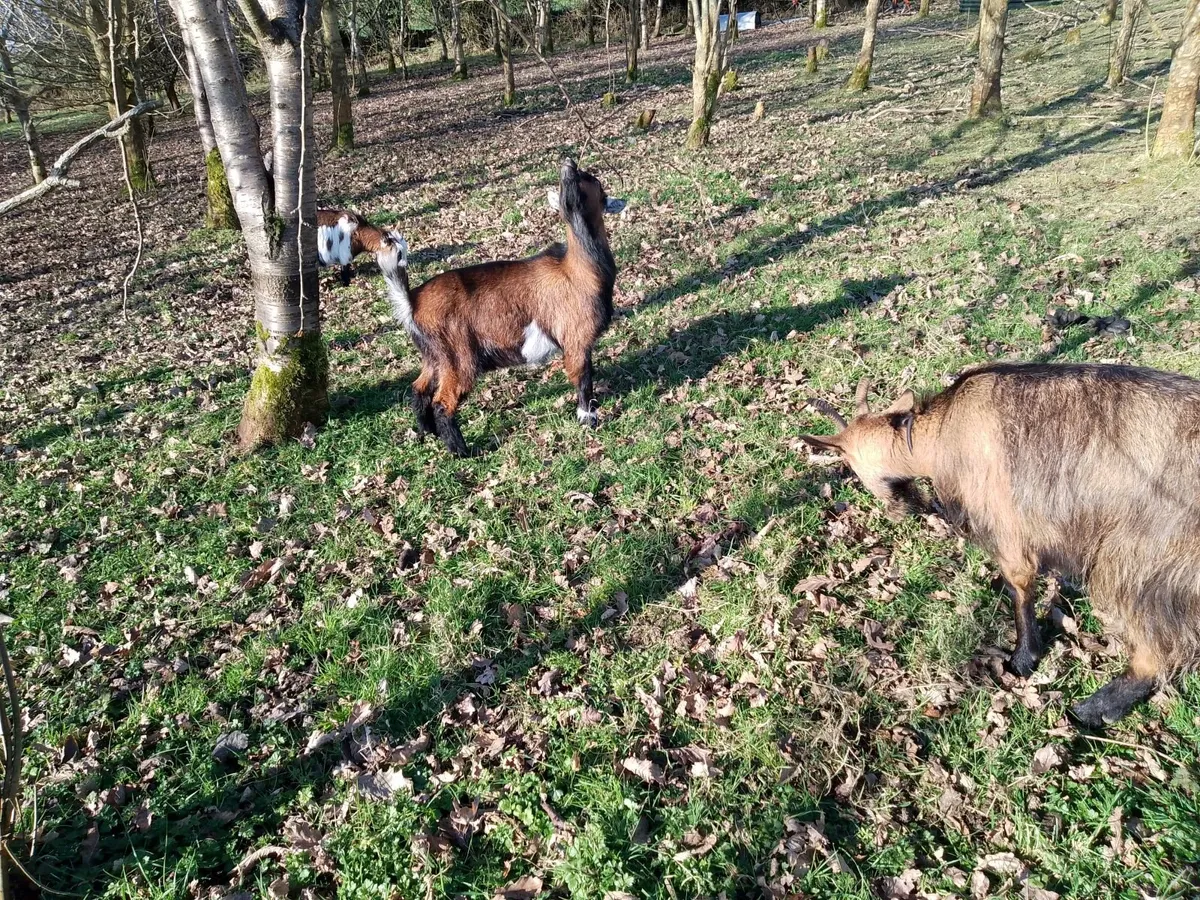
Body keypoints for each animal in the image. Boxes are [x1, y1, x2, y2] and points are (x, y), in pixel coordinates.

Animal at [373, 158, 625, 456]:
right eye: (592, 179)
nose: (569, 164)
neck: (580, 269)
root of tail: (411, 301)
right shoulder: (577, 339)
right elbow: (583, 380)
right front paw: (589, 420)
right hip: (459, 358)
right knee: (442, 403)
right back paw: (463, 451)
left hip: (435, 356)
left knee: (418, 389)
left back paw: (428, 434)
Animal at [801, 362, 1200, 727]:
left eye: (848, 463)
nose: (897, 512)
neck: (940, 433)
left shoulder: (1008, 529)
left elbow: (1019, 589)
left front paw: (1023, 658)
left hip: (1139, 558)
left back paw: (1093, 709)